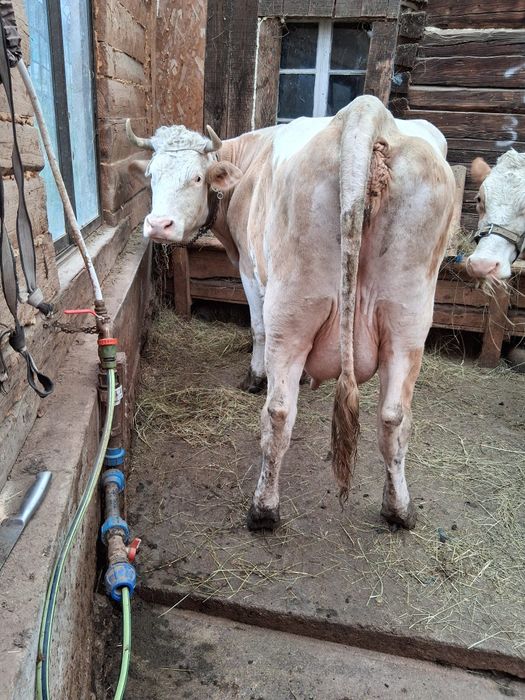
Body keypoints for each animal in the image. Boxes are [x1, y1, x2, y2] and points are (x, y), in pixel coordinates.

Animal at [127, 95, 456, 532]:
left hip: (292, 309)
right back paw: (399, 509)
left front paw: (254, 376)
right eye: (150, 175)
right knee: (393, 416)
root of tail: (365, 113)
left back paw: (264, 509)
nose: (157, 225)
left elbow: (257, 328)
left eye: (197, 178)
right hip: (408, 317)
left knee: (279, 412)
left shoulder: (250, 269)